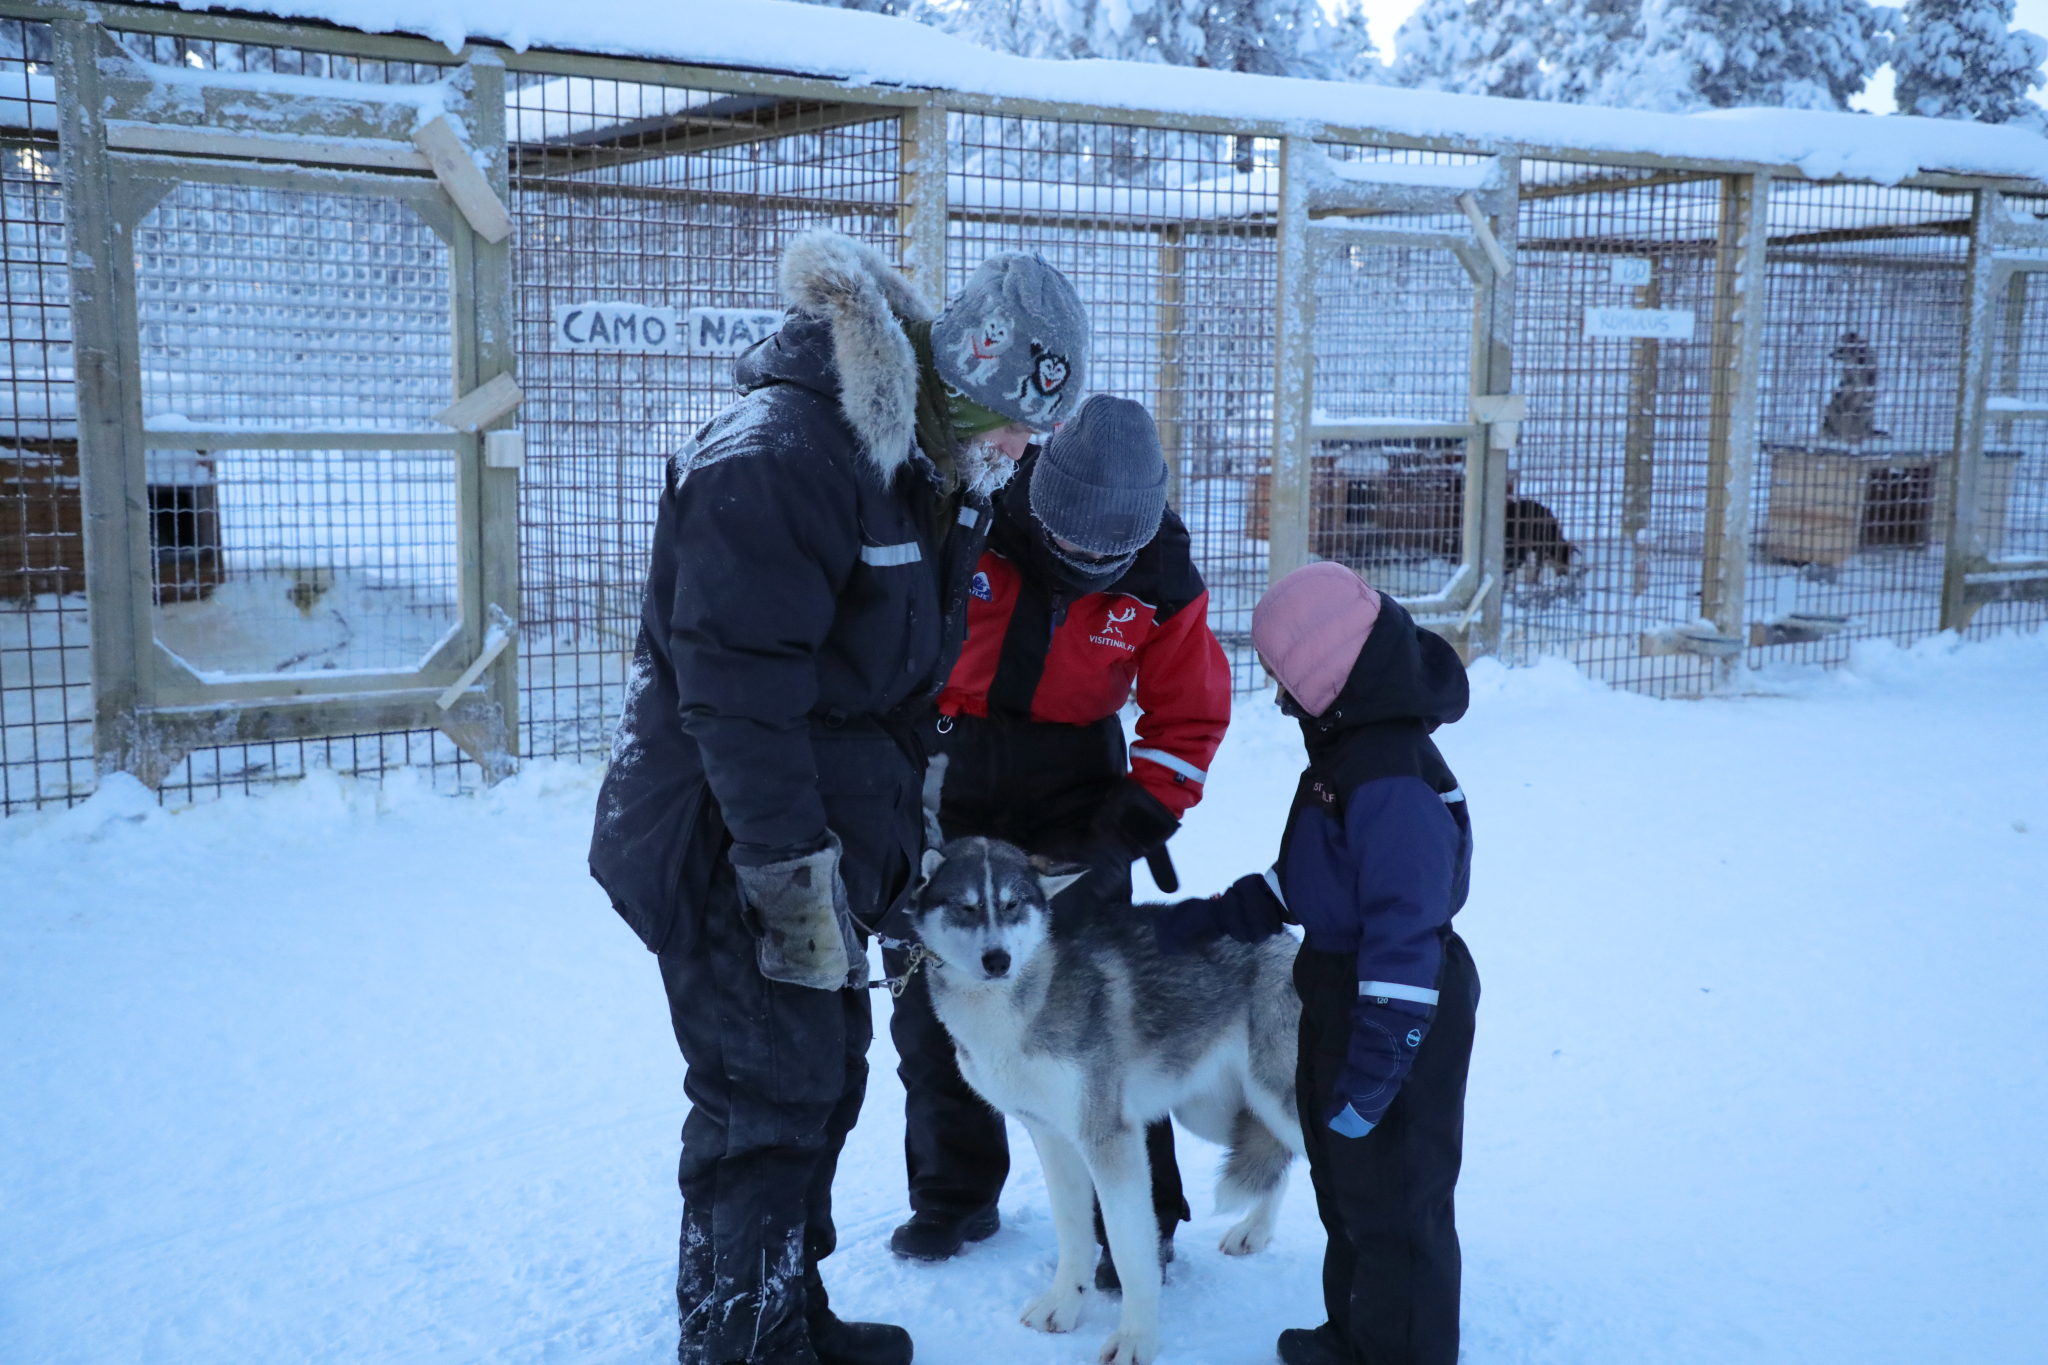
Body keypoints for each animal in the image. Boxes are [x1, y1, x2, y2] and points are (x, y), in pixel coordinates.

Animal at [909, 839, 1302, 1358]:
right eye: (967, 907)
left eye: (1012, 906)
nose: (998, 960)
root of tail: (1286, 938)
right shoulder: (1051, 1135)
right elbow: (1073, 1230)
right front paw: (1064, 1304)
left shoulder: (1108, 1138)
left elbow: (1130, 1247)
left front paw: (1136, 1338)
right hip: (1210, 1111)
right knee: (1277, 1154)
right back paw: (1255, 1231)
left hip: (1276, 1098)